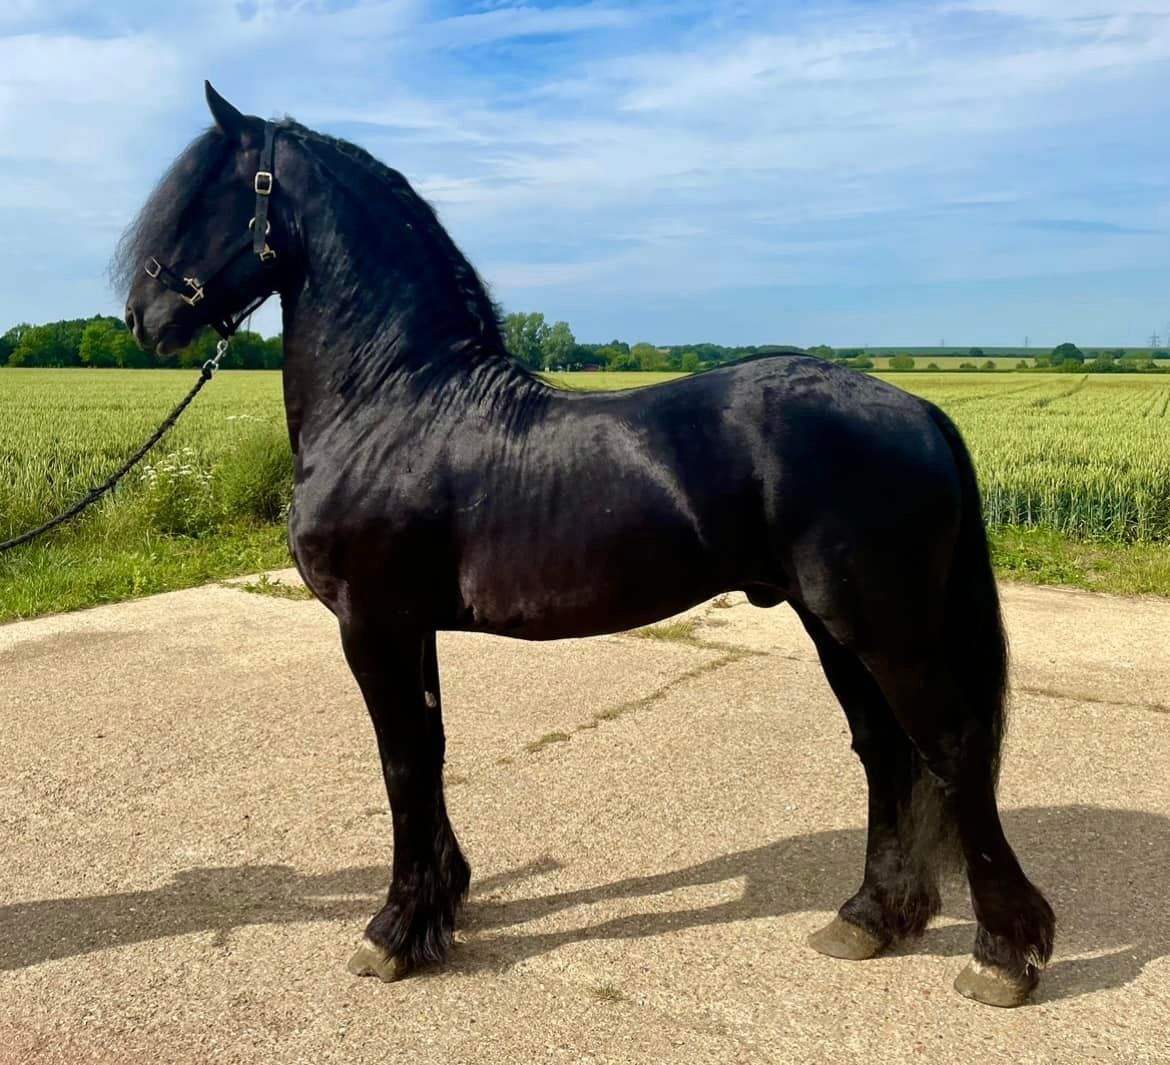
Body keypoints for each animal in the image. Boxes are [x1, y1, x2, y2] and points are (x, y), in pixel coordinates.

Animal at [117, 83, 1055, 1008]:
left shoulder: (372, 624)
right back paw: (867, 919)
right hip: (835, 628)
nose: (141, 318)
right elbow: (432, 752)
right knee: (886, 752)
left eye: (207, 196)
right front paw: (440, 907)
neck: (394, 399)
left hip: (882, 628)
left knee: (952, 748)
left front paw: (392, 933)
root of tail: (919, 409)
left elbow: (401, 766)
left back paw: (1002, 956)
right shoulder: (412, 629)